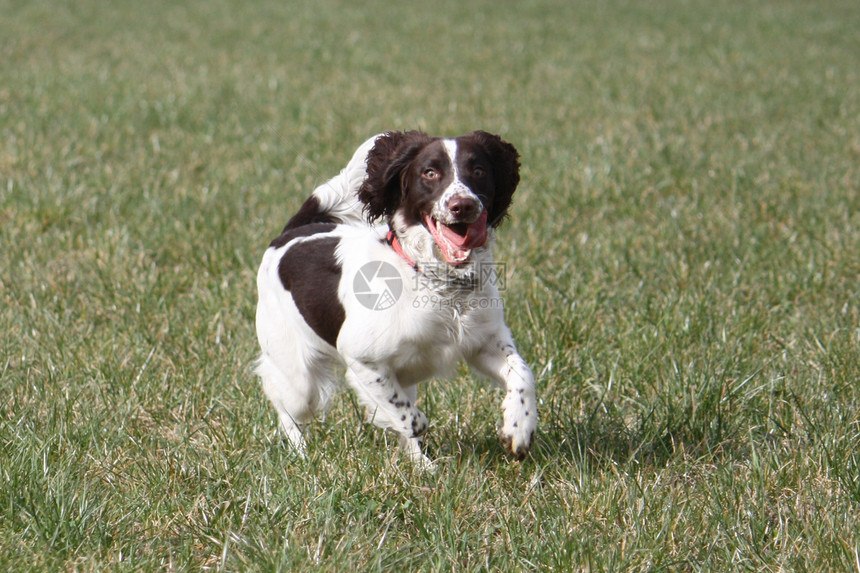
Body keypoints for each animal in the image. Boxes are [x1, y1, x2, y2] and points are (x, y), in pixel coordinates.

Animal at [255, 131, 536, 464]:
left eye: (478, 170)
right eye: (430, 172)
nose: (463, 205)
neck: (439, 281)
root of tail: (289, 234)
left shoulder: (485, 341)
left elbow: (523, 374)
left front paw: (518, 429)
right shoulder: (362, 357)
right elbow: (409, 417)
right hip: (299, 378)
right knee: (285, 407)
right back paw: (301, 453)